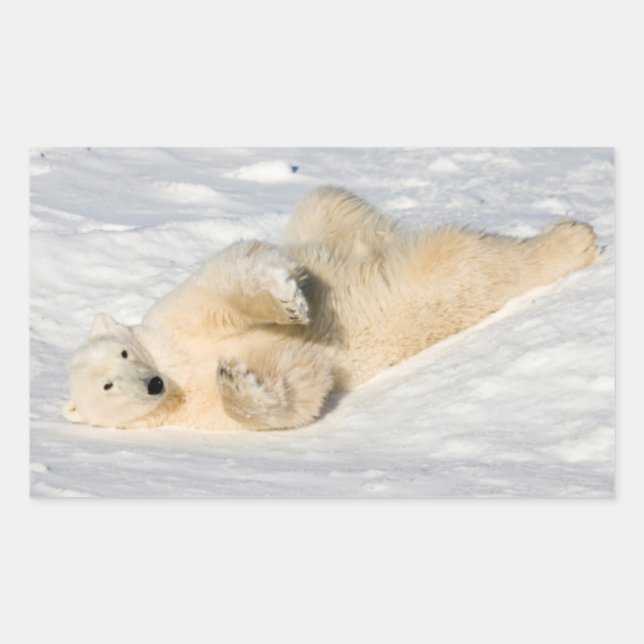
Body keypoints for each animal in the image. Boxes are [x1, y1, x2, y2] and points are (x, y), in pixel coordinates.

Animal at [63, 185, 599, 431]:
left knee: (328, 206)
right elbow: (298, 381)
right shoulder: (200, 412)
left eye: (125, 353)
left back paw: (574, 240)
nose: (153, 385)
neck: (178, 375)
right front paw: (236, 379)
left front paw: (288, 299)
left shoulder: (172, 321)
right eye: (108, 386)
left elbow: (225, 285)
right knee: (460, 265)